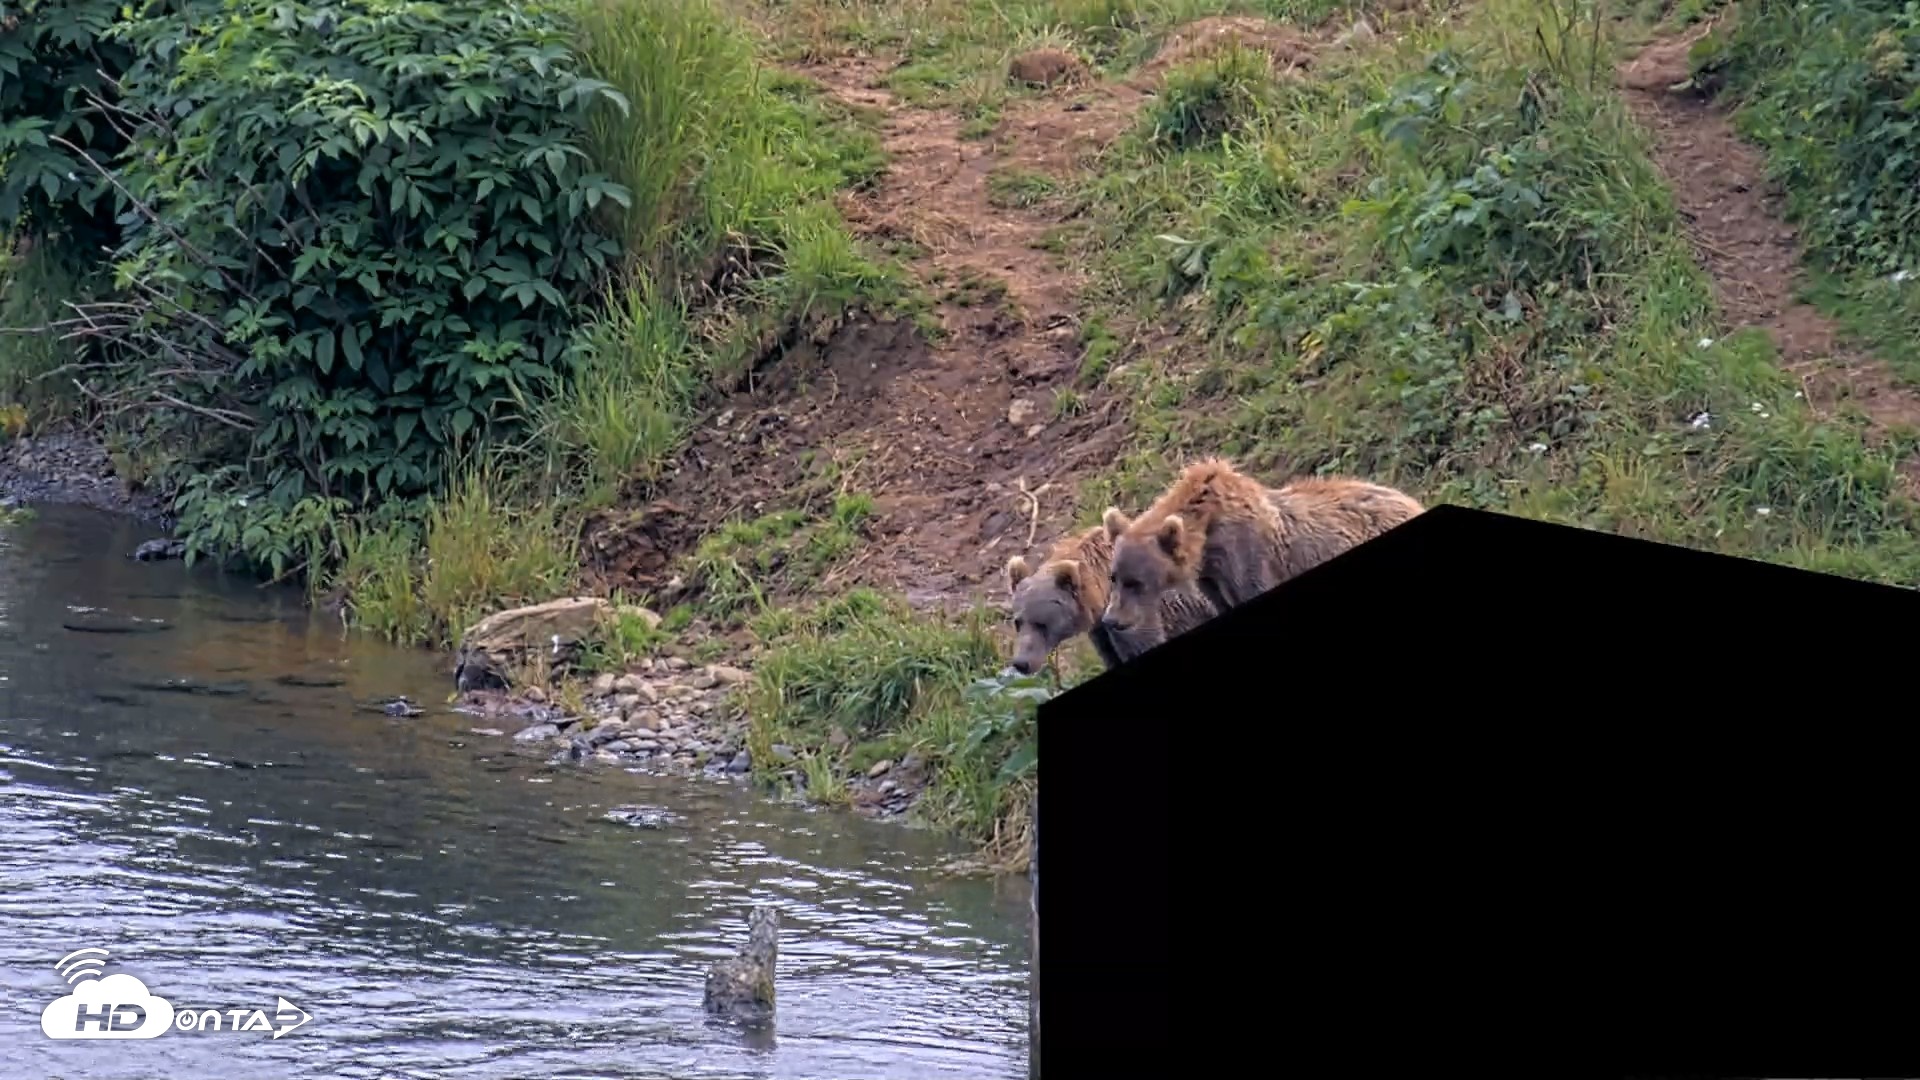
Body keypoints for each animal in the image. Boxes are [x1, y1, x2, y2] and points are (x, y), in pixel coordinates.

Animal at [1099, 458, 1423, 647]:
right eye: (1114, 577)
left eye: (1136, 582)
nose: (1111, 620)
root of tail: (1410, 500)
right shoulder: (1214, 582)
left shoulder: (1250, 560)